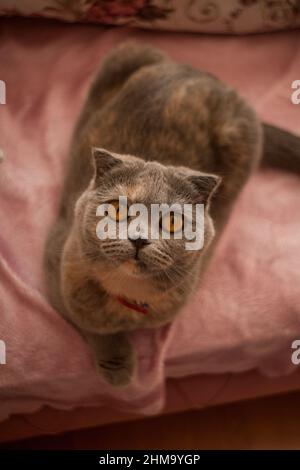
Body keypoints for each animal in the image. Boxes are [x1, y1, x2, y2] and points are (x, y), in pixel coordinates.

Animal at [44, 41, 300, 386]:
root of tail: (201, 72)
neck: (128, 295)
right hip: (127, 52)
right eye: (116, 209)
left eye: (173, 221)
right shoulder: (57, 265)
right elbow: (89, 324)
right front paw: (119, 369)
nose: (139, 239)